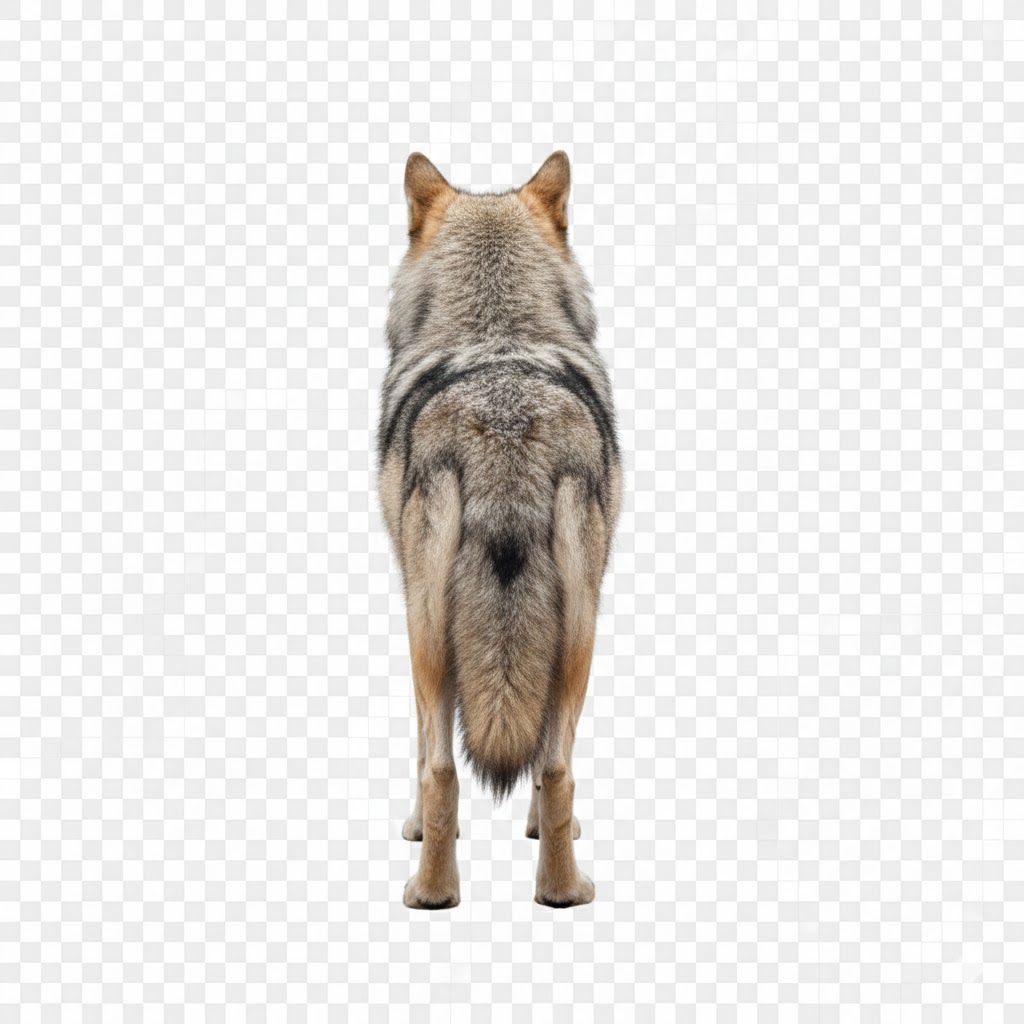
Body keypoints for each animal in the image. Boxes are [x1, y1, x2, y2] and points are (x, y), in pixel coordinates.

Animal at [377, 151, 621, 909]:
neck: (496, 327)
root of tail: (505, 431)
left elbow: (422, 755)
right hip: (577, 636)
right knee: (554, 765)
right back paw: (559, 891)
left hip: (428, 636)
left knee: (443, 767)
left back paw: (430, 895)